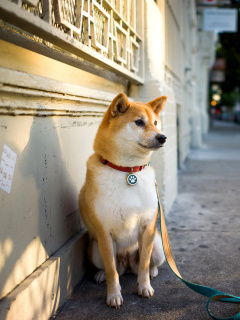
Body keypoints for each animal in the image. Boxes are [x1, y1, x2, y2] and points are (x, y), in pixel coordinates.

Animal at [79, 92, 167, 308]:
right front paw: (113, 295)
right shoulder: (104, 233)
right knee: (112, 268)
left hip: (158, 247)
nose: (162, 137)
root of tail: (127, 264)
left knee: (148, 263)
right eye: (139, 122)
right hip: (94, 249)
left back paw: (153, 271)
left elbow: (144, 264)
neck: (128, 170)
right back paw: (100, 274)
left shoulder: (147, 227)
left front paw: (144, 287)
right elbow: (112, 270)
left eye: (155, 123)